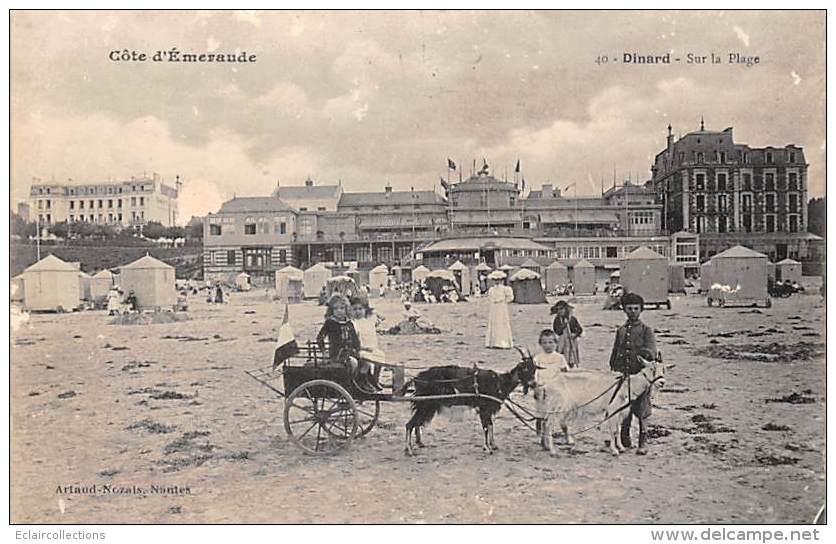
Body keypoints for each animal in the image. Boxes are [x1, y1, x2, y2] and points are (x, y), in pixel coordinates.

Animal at [404, 348, 536, 454]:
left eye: (534, 369)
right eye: (525, 369)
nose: (533, 384)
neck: (499, 382)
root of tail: (417, 378)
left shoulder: (488, 409)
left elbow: (490, 425)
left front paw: (493, 445)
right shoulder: (484, 409)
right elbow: (486, 427)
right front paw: (487, 448)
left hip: (427, 405)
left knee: (416, 423)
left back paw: (419, 443)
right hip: (425, 404)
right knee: (410, 424)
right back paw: (409, 450)